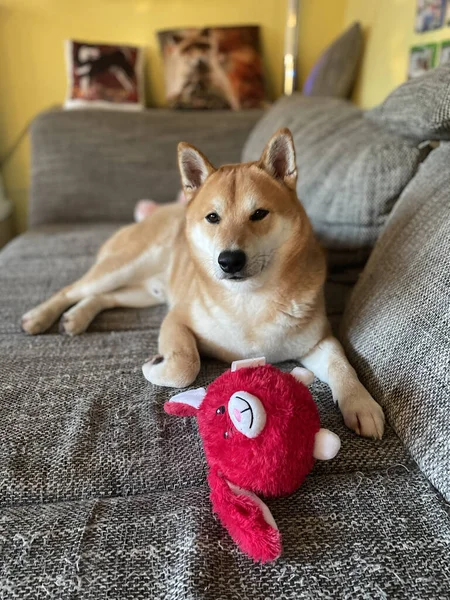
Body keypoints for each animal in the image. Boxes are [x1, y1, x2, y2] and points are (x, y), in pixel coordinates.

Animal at [21, 126, 384, 438]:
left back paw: (76, 317)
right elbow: (185, 365)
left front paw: (361, 403)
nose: (229, 260)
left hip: (146, 292)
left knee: (105, 297)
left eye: (259, 214)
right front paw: (155, 365)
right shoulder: (177, 319)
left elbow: (342, 365)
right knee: (73, 289)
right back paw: (39, 316)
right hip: (124, 267)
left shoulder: (319, 340)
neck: (248, 301)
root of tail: (163, 211)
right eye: (213, 217)